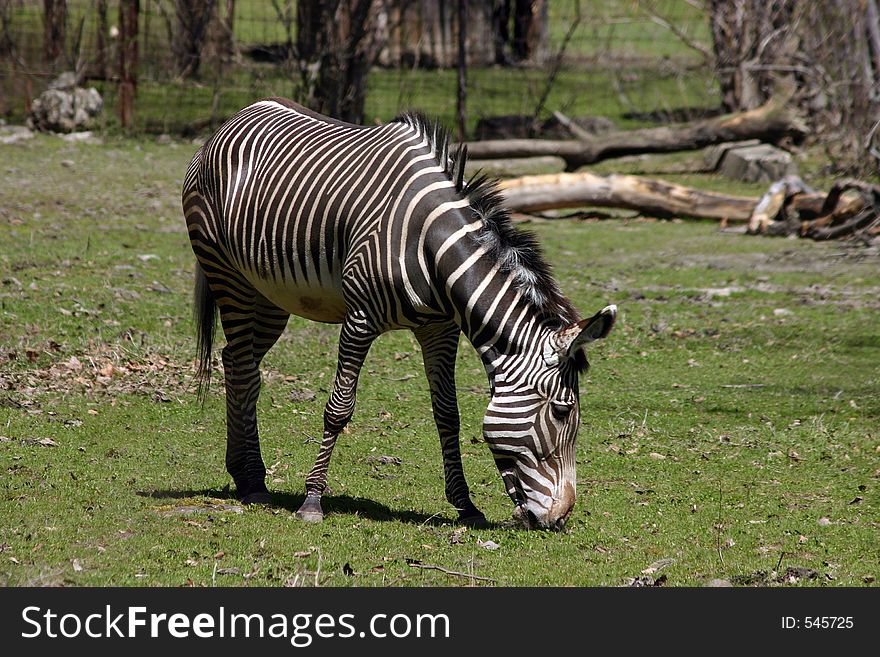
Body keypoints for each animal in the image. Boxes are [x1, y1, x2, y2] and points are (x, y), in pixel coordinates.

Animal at [182, 97, 616, 528]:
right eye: (561, 412)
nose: (560, 518)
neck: (432, 248)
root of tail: (240, 115)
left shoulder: (440, 329)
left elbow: (448, 414)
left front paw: (466, 506)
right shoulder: (359, 320)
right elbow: (338, 409)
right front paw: (312, 501)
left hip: (271, 295)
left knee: (238, 362)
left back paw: (244, 474)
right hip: (227, 273)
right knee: (243, 367)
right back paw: (254, 481)